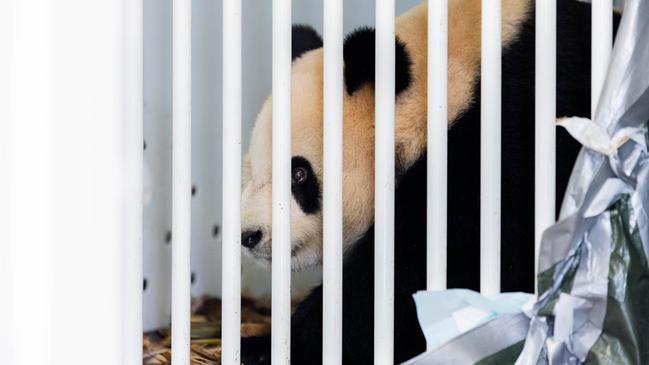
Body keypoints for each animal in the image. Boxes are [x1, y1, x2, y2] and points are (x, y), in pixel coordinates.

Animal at [237, 1, 616, 362]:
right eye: (252, 172)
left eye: (298, 173)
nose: (249, 236)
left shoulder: (506, 144)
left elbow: (416, 280)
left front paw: (266, 347)